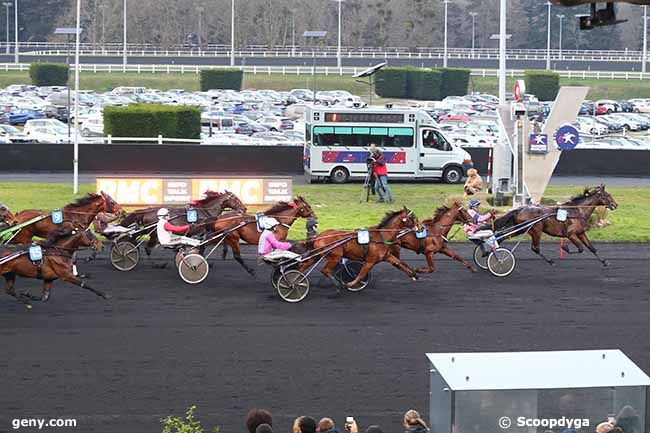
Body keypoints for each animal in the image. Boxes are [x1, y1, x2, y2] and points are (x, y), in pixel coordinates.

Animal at [118, 190, 246, 256]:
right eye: (235, 198)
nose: (244, 209)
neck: (204, 211)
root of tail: (146, 210)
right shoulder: (202, 231)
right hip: (152, 231)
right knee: (142, 242)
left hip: (147, 229)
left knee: (134, 235)